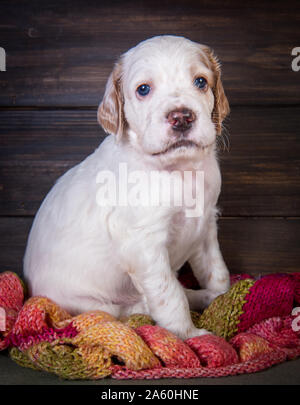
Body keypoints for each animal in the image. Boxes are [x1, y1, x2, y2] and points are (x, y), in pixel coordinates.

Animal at [24, 36, 230, 338]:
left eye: (201, 82)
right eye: (143, 89)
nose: (181, 117)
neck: (179, 171)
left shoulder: (205, 226)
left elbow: (217, 271)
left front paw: (221, 298)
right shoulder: (143, 245)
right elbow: (169, 295)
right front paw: (188, 336)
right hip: (86, 303)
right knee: (127, 309)